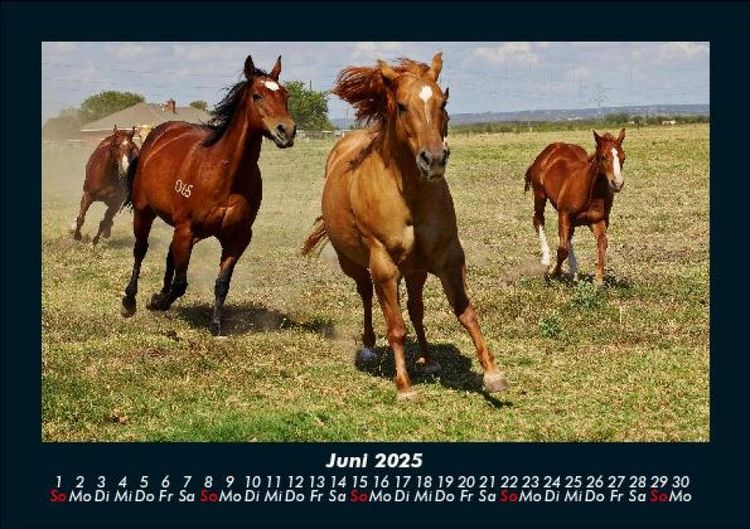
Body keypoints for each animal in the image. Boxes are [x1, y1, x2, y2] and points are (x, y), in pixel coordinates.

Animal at [120, 54, 296, 336]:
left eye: (285, 94)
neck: (226, 176)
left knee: (169, 255)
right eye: (257, 95)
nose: (286, 131)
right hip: (145, 212)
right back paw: (130, 301)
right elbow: (181, 283)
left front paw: (216, 325)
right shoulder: (186, 229)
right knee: (140, 250)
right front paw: (157, 302)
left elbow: (222, 282)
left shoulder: (237, 237)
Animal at [302, 53, 508, 401]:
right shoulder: (384, 264)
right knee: (366, 294)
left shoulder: (448, 256)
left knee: (415, 308)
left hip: (415, 269)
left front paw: (492, 373)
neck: (408, 194)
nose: (434, 159)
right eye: (401, 106)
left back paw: (427, 359)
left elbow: (464, 311)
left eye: (443, 102)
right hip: (354, 263)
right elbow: (396, 327)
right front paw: (404, 386)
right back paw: (369, 348)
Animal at [524, 129, 626, 284]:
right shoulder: (564, 214)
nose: (617, 183)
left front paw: (598, 280)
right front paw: (553, 272)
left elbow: (602, 243)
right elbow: (562, 249)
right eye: (603, 157)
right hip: (540, 195)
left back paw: (574, 271)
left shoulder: (598, 220)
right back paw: (546, 260)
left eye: (623, 157)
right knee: (538, 220)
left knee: (568, 236)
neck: (591, 192)